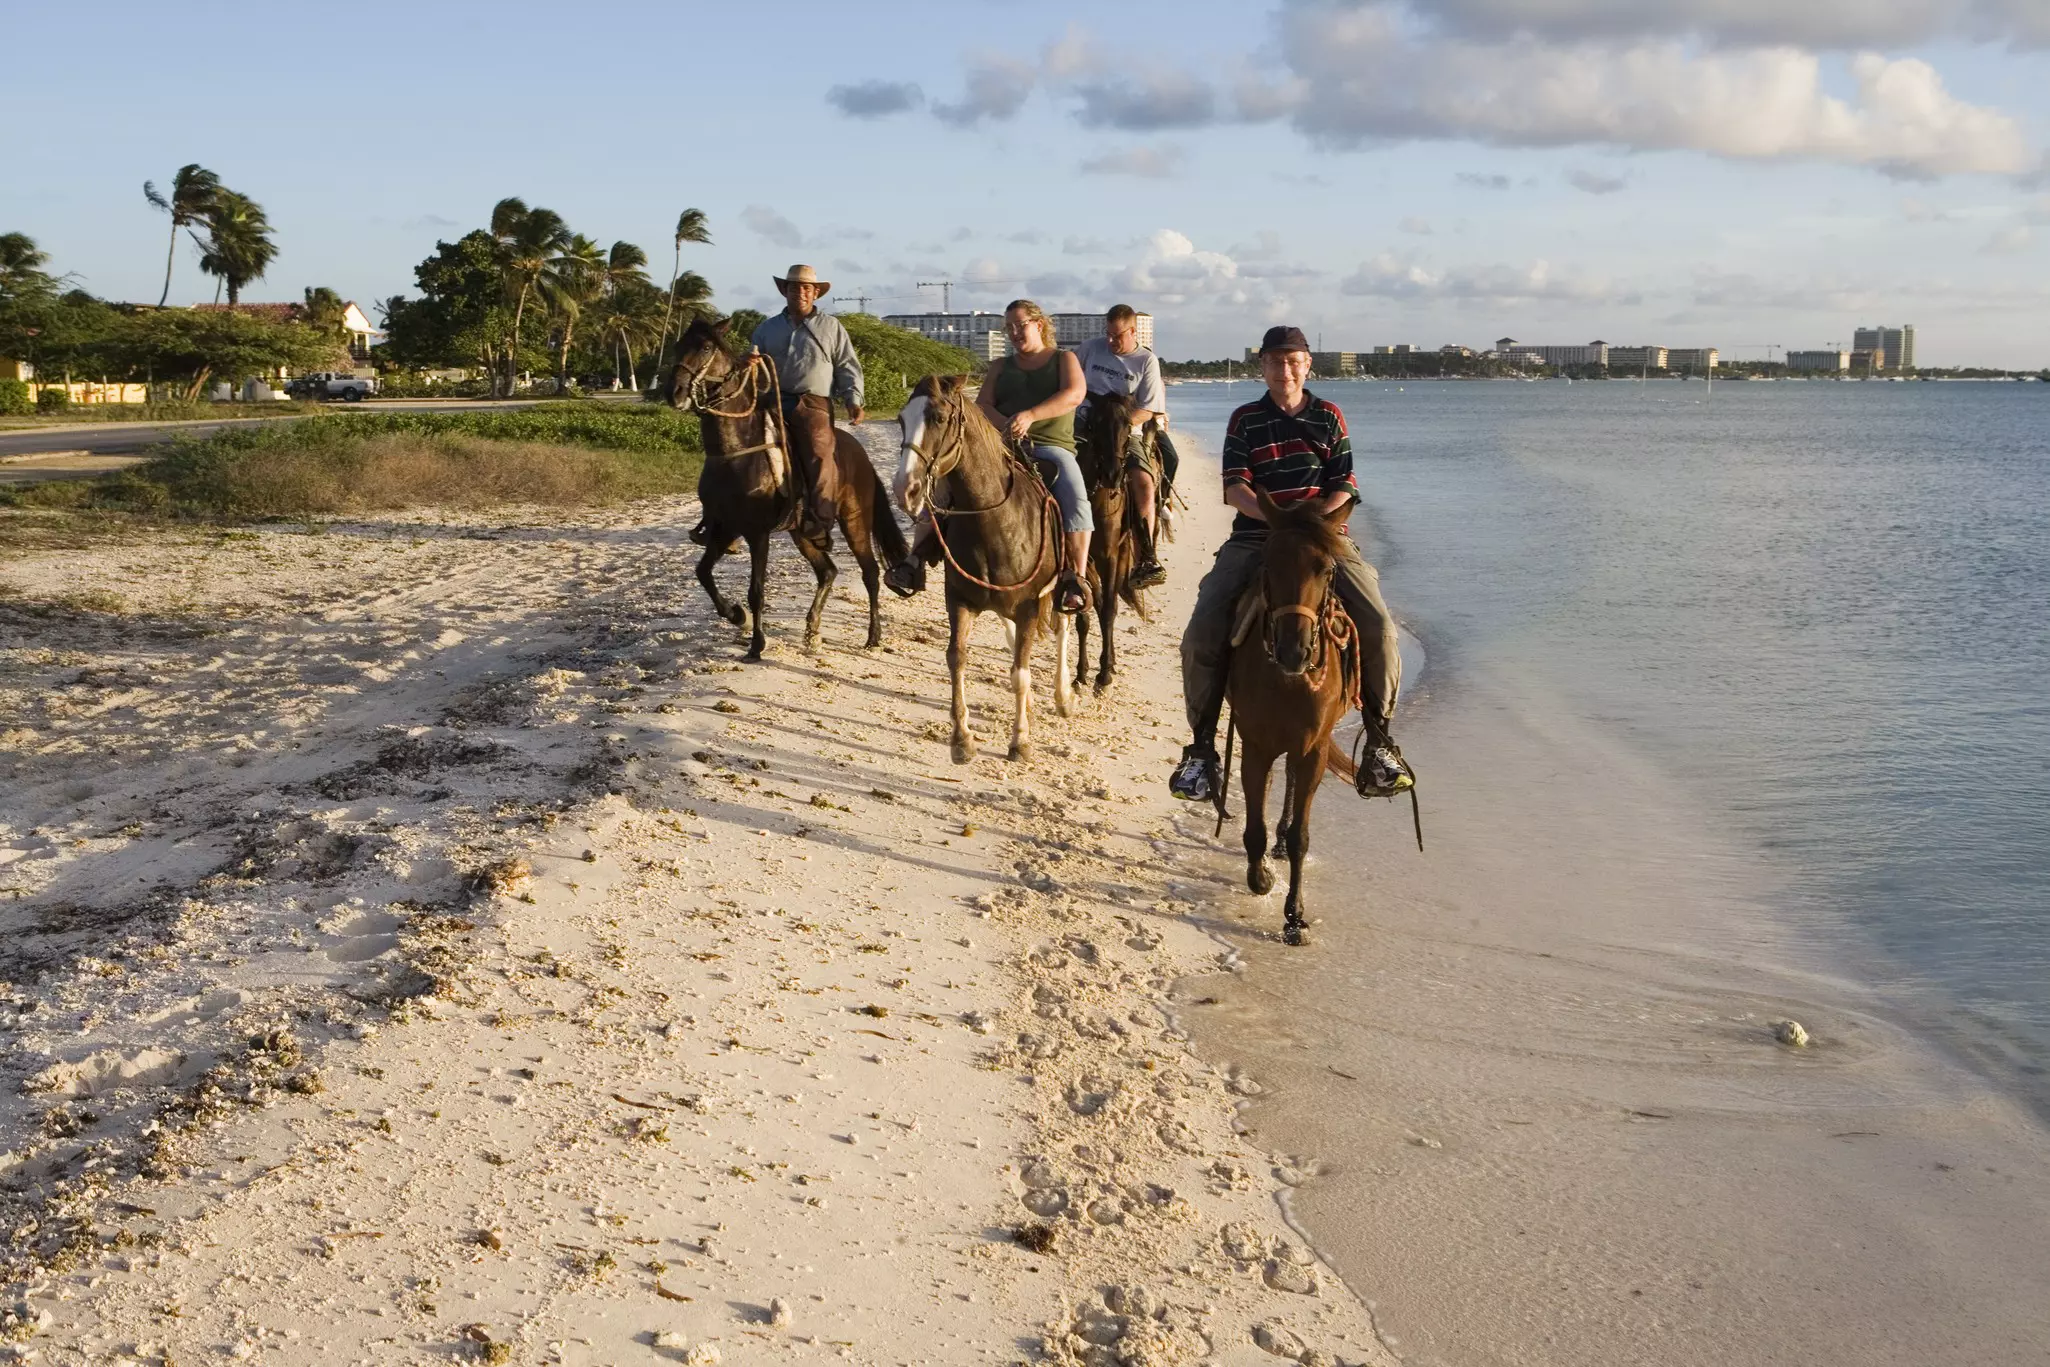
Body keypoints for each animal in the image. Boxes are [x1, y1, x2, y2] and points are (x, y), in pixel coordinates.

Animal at [667, 317, 908, 661]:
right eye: (678, 345)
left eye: (706, 347)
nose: (673, 392)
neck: (735, 452)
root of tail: (858, 453)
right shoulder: (724, 528)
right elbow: (703, 573)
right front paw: (737, 615)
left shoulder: (757, 532)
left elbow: (756, 591)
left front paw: (756, 644)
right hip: (801, 533)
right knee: (827, 572)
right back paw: (812, 632)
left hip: (855, 521)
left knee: (870, 572)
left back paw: (873, 637)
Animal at [894, 374, 1073, 763]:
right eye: (901, 419)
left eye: (939, 418)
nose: (905, 490)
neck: (995, 519)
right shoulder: (959, 601)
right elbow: (957, 659)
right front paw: (962, 740)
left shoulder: (1030, 605)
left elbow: (1020, 672)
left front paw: (1020, 741)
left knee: (1064, 628)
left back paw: (1063, 696)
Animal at [1072, 393, 1152, 692]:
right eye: (1094, 423)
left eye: (1128, 423)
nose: (1112, 474)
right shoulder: (1083, 557)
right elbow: (1085, 611)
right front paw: (1081, 674)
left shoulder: (1110, 556)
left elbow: (1108, 611)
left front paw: (1104, 675)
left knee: (1110, 603)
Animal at [1217, 491, 1363, 946]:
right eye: (1268, 561)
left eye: (1327, 569)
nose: (1293, 651)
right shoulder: (1256, 744)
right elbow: (1254, 825)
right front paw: (1260, 877)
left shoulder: (1313, 748)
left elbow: (1301, 835)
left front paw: (1294, 919)